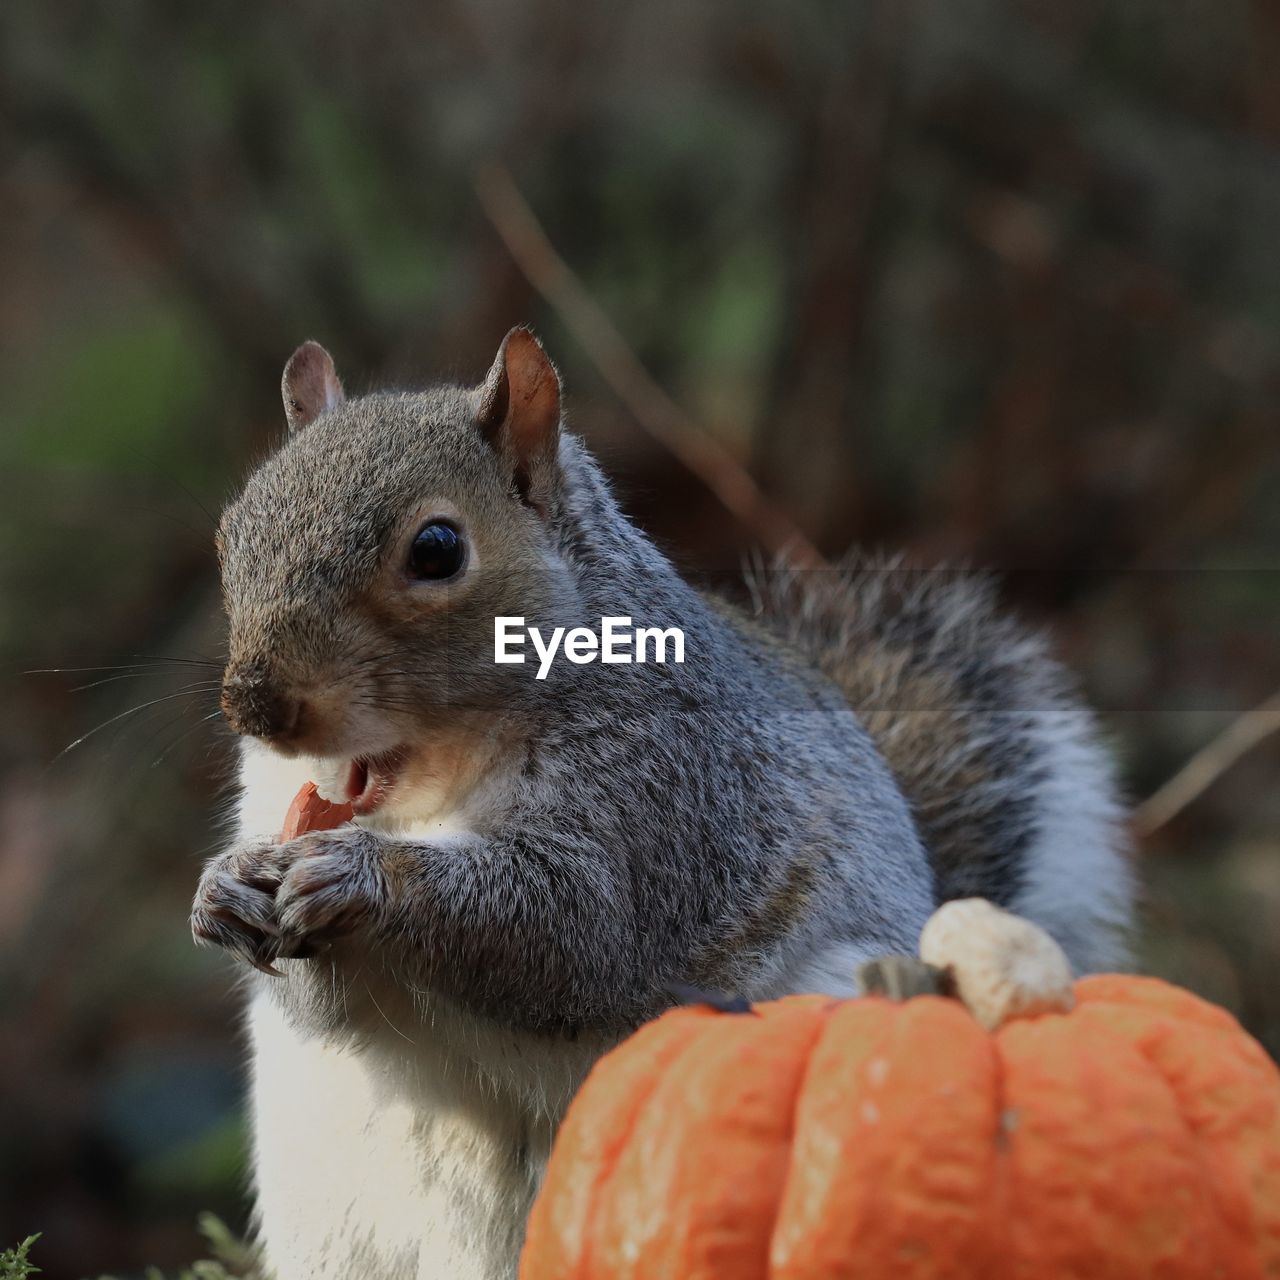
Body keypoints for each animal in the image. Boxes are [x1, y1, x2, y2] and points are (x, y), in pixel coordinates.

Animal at [189, 327, 1131, 1280]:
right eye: (230, 537)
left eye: (438, 549)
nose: (257, 705)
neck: (434, 787)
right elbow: (322, 1005)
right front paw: (224, 888)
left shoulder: (674, 798)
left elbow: (574, 926)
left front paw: (360, 876)